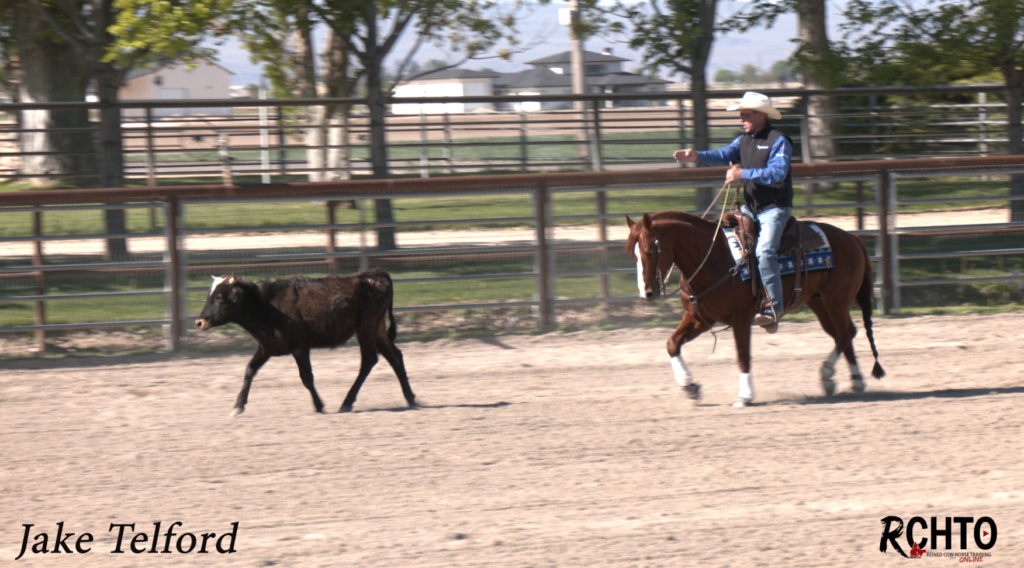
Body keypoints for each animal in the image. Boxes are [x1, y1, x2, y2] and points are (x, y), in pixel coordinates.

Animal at [622, 210, 880, 407]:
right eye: (632, 254)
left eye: (650, 251)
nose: (646, 293)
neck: (714, 258)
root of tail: (852, 239)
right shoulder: (698, 318)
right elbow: (672, 344)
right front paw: (689, 386)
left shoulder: (740, 319)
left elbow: (743, 356)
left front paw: (745, 396)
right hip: (819, 303)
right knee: (844, 334)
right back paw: (852, 379)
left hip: (836, 301)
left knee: (845, 334)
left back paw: (832, 375)